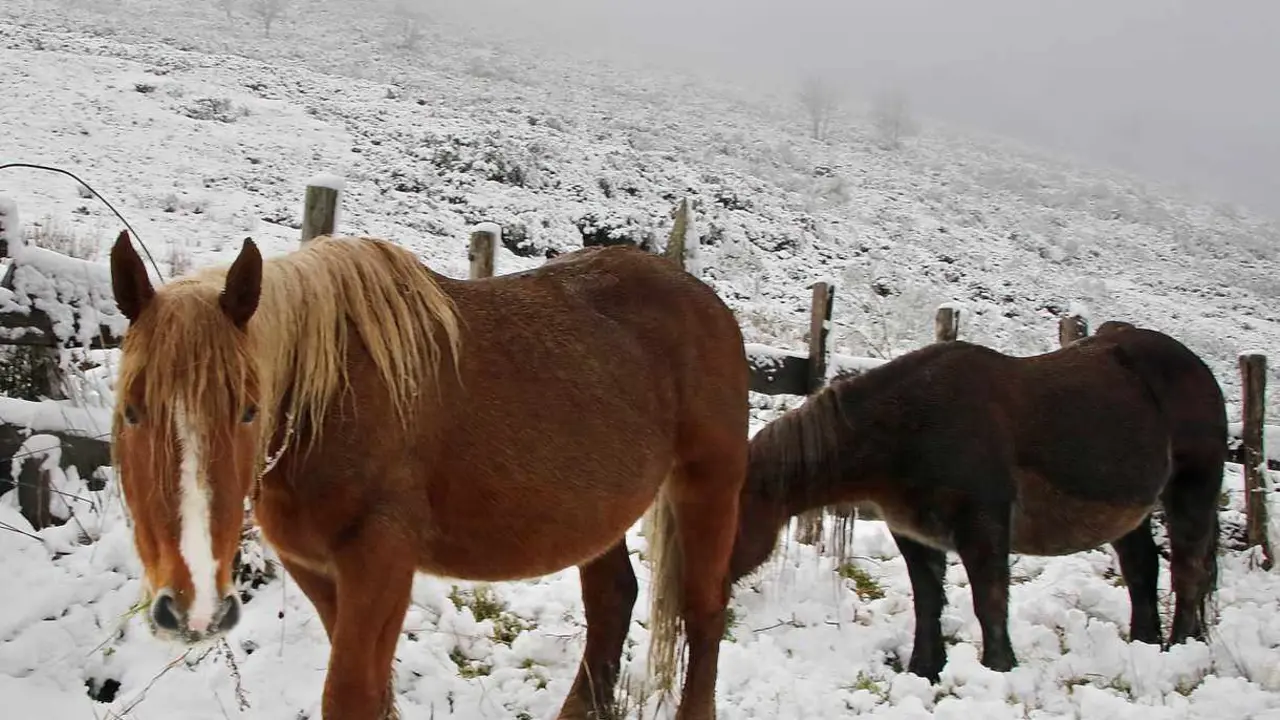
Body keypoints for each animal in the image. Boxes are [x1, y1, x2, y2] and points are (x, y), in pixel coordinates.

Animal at [112, 230, 747, 717]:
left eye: (248, 409)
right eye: (132, 410)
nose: (194, 606)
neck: (331, 401)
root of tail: (706, 301)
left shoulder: (381, 560)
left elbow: (351, 696)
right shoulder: (316, 570)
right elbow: (374, 693)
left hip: (709, 487)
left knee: (705, 611)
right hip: (599, 516)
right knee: (612, 600)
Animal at [727, 322, 1223, 681]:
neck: (911, 427)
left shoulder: (983, 527)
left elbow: (990, 600)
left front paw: (999, 669)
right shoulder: (914, 534)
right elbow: (927, 601)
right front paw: (924, 670)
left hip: (1192, 489)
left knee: (1188, 569)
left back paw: (1181, 647)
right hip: (1128, 511)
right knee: (1141, 568)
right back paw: (1145, 643)